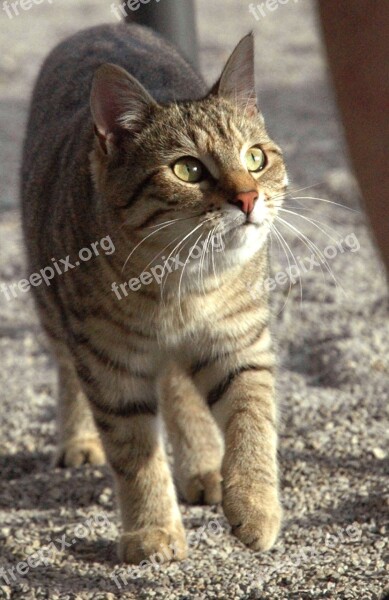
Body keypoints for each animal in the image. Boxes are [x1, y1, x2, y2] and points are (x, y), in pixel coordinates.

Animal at [21, 18, 286, 564]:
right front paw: (152, 530)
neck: (184, 283)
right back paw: (80, 439)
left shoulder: (239, 343)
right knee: (67, 372)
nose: (249, 198)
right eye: (188, 169)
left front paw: (254, 503)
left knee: (179, 387)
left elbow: (252, 423)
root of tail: (103, 24)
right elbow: (135, 453)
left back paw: (204, 465)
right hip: (54, 315)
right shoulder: (109, 365)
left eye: (255, 158)